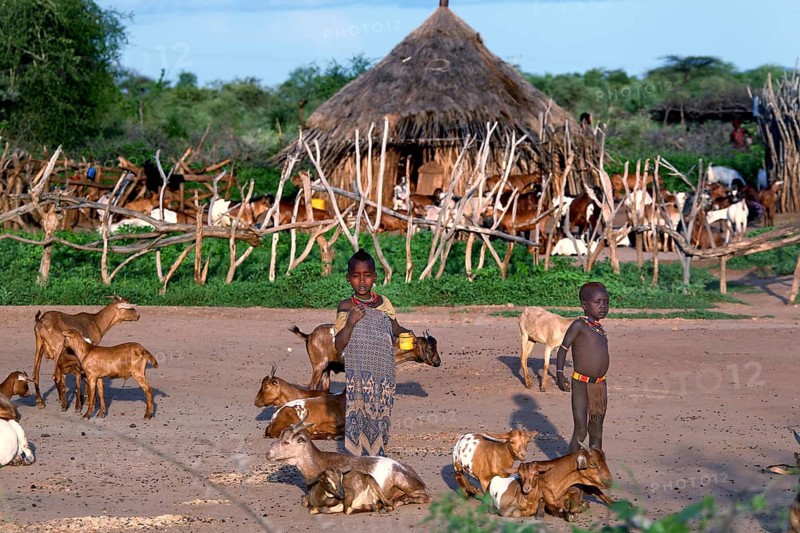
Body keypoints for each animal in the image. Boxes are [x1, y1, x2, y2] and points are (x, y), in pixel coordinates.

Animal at [266, 420, 431, 506]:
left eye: (286, 442)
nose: (268, 454)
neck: (320, 463)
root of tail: (417, 478)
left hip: (403, 482)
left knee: (427, 497)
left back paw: (401, 501)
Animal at [289, 325, 440, 391]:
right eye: (429, 347)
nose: (438, 362)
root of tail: (309, 335)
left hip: (326, 368)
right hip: (318, 365)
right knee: (312, 387)